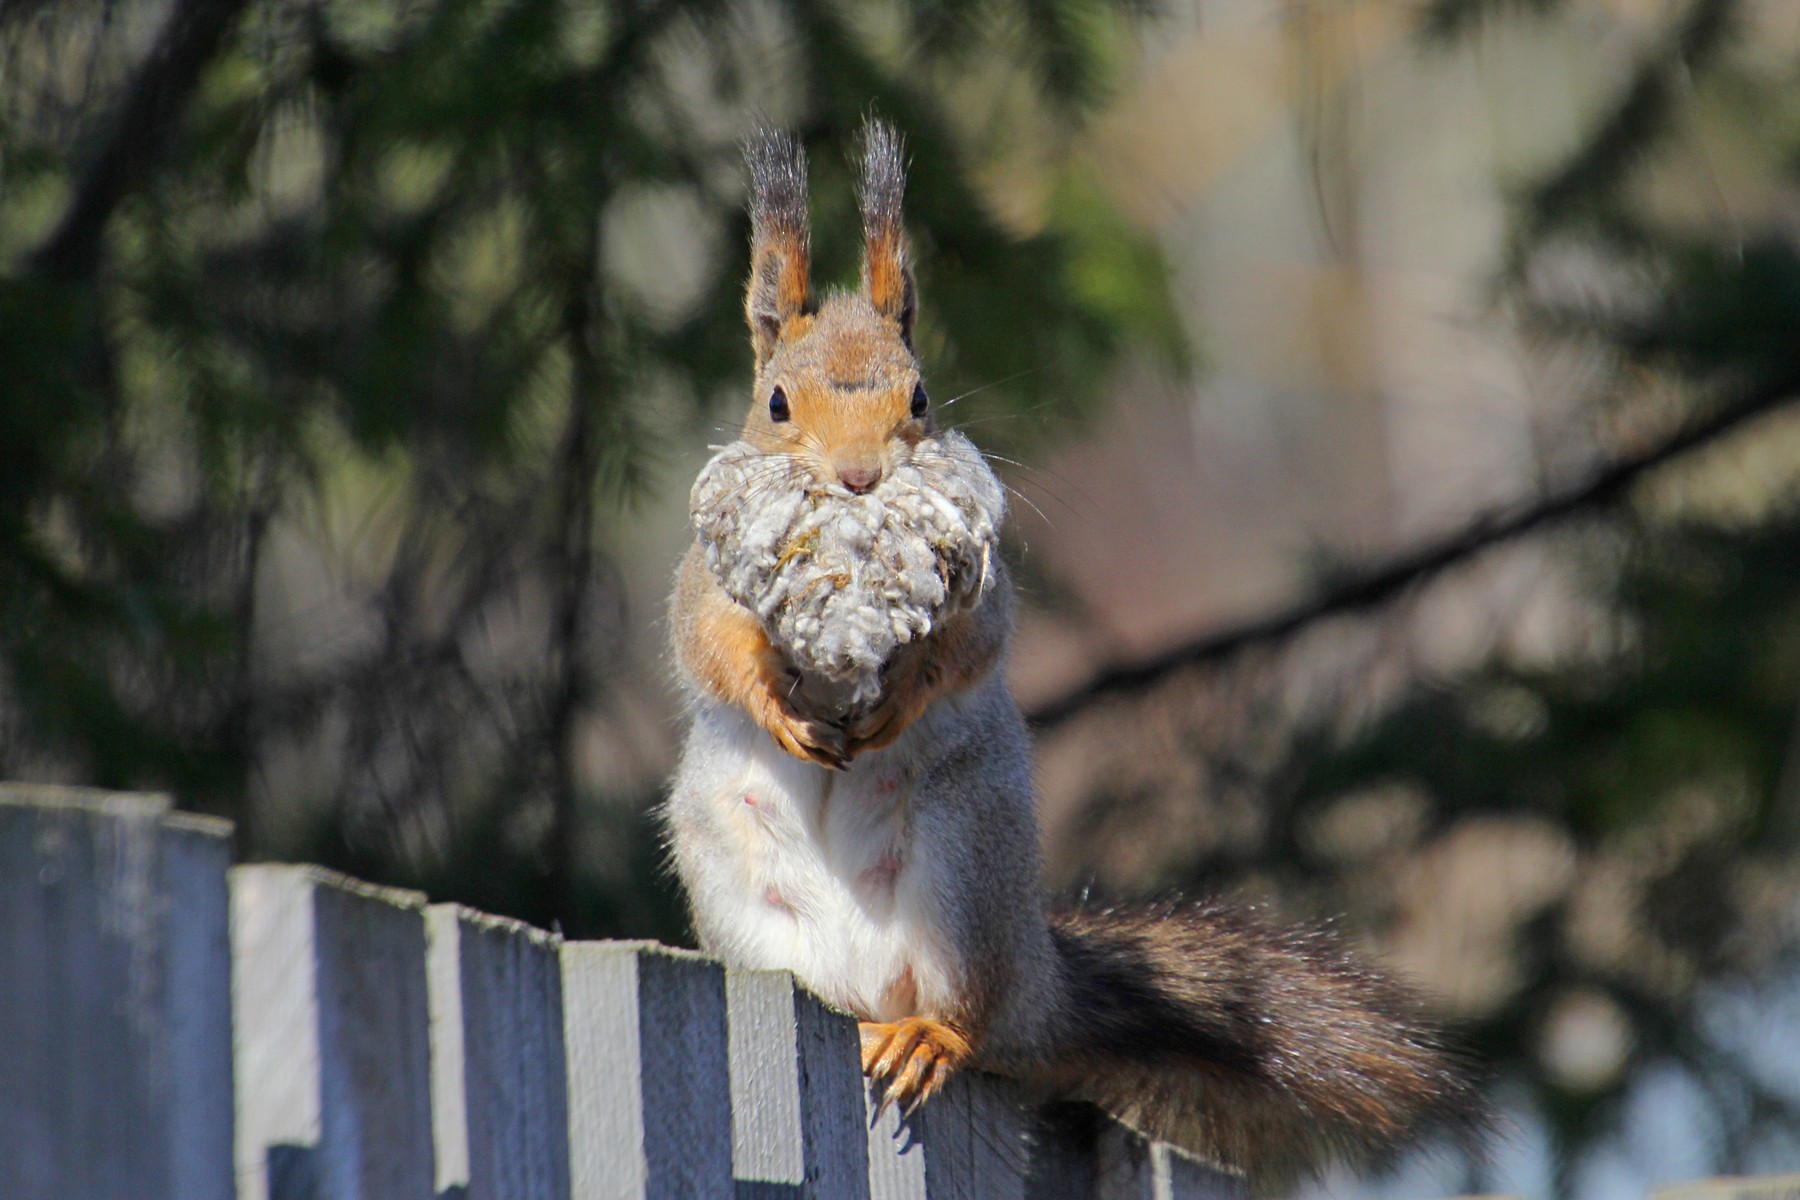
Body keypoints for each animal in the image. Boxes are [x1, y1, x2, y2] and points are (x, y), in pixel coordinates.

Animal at [669, 124, 1483, 1180]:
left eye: (919, 395)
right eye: (774, 403)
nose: (857, 476)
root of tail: (1035, 989)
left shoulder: (985, 596)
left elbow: (971, 649)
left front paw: (901, 697)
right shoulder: (698, 584)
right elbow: (709, 646)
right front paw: (777, 703)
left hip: (966, 868)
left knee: (968, 1018)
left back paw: (930, 1037)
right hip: (737, 881)